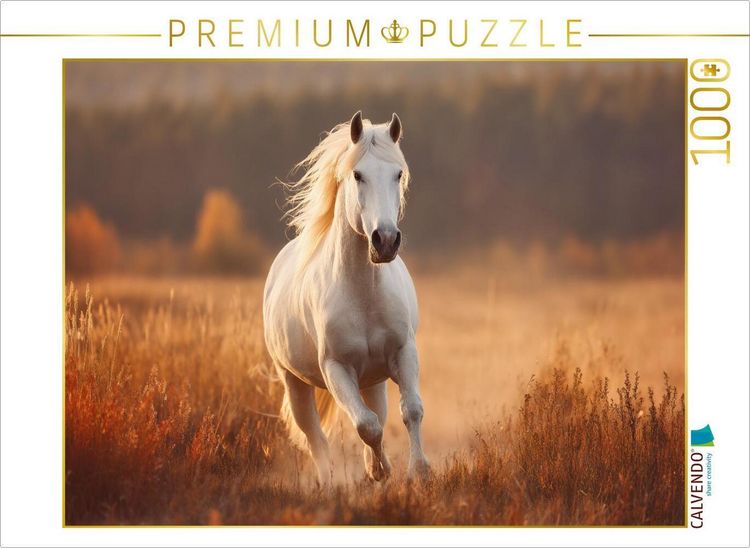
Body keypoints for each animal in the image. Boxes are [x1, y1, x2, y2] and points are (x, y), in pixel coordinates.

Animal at [263, 111, 428, 486]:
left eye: (398, 174)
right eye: (358, 174)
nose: (385, 241)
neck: (364, 295)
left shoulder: (403, 352)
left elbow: (410, 410)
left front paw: (418, 471)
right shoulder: (336, 369)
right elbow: (367, 425)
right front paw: (380, 471)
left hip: (374, 380)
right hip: (295, 382)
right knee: (314, 436)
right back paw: (328, 482)